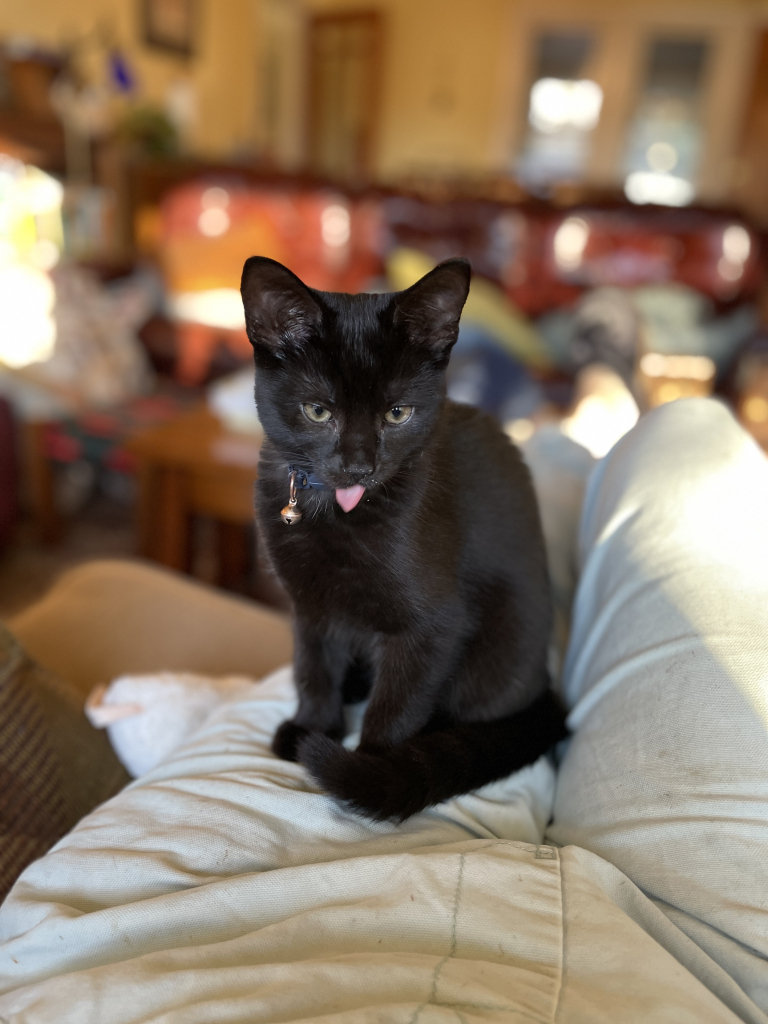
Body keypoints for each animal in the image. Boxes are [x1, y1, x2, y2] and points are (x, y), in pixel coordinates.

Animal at [243, 256, 569, 823]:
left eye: (397, 414)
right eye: (317, 411)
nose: (358, 466)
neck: (337, 511)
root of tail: (543, 689)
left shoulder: (432, 627)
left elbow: (395, 704)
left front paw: (372, 770)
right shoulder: (309, 605)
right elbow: (312, 667)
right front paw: (313, 727)